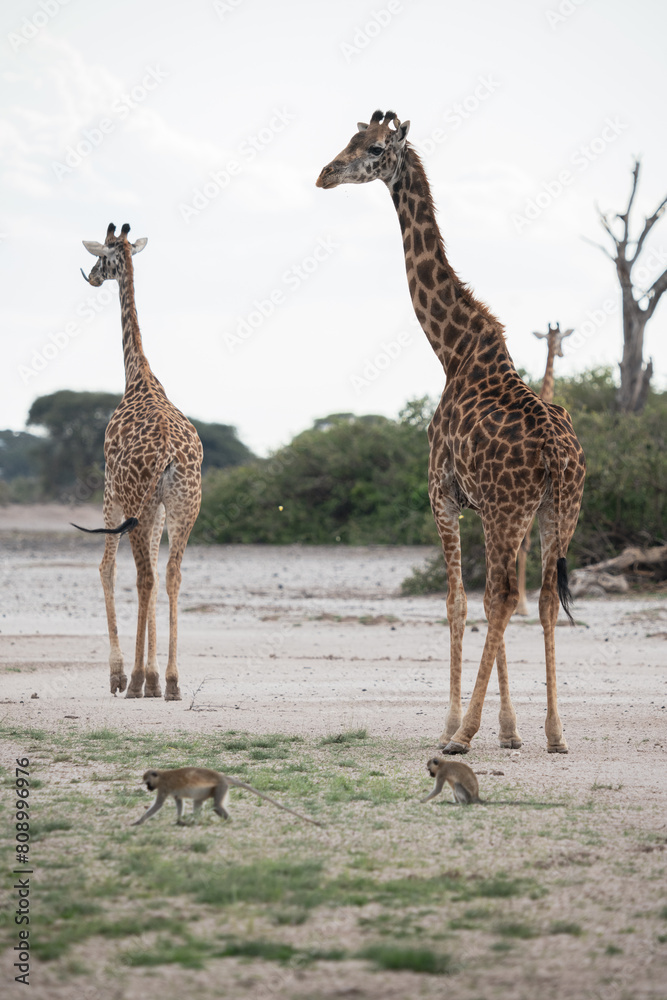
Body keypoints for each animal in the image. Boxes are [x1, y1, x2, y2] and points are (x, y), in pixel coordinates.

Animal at [74, 223, 203, 701]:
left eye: (102, 254)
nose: (92, 276)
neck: (138, 374)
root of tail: (167, 452)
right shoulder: (159, 508)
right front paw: (152, 676)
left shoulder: (110, 488)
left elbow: (107, 569)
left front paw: (122, 675)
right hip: (185, 504)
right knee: (171, 575)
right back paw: (171, 681)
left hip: (134, 499)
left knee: (143, 576)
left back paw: (132, 681)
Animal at [317, 112, 585, 754]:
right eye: (350, 139)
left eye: (374, 148)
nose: (325, 173)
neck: (453, 350)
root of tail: (558, 452)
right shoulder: (481, 505)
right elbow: (487, 604)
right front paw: (511, 730)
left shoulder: (443, 495)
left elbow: (457, 603)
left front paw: (454, 722)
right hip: (559, 510)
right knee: (541, 598)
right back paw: (556, 733)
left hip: (513, 510)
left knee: (505, 596)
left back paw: (462, 736)